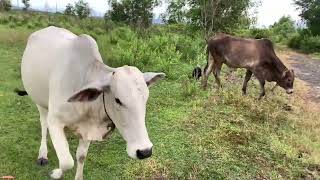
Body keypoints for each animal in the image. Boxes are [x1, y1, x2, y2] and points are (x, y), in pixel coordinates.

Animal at [20, 26, 165, 179]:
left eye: (145, 99)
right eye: (118, 100)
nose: (145, 151)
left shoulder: (88, 128)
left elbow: (81, 156)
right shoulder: (54, 121)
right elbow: (66, 161)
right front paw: (56, 173)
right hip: (40, 102)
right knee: (43, 125)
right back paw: (42, 154)